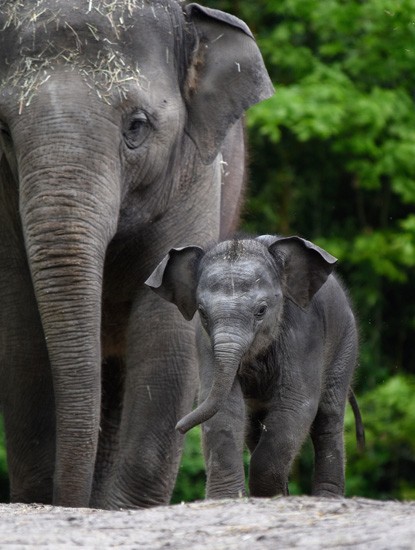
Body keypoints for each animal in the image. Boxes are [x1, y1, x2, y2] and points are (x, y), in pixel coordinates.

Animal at [0, 0, 272, 512]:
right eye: (2, 130)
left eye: (136, 126)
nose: (68, 502)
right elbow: (21, 327)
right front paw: (40, 498)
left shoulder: (195, 175)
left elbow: (166, 331)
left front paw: (126, 509)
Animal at [145, 236, 364, 500]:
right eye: (203, 313)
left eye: (261, 310)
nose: (179, 427)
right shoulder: (204, 340)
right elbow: (224, 408)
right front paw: (227, 499)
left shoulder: (304, 330)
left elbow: (295, 403)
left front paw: (269, 496)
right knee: (252, 427)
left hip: (346, 342)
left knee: (328, 417)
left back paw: (325, 498)